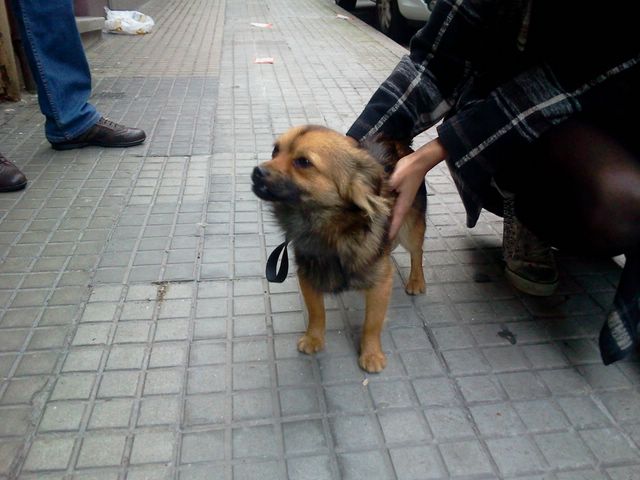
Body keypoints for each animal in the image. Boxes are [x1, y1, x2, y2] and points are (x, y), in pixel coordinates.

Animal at [251, 125, 424, 374]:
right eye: (275, 151)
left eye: (303, 162)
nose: (257, 171)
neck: (329, 230)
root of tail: (397, 141)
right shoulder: (308, 274)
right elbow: (316, 312)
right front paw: (314, 338)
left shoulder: (381, 283)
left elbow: (372, 323)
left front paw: (371, 354)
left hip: (409, 228)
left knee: (417, 252)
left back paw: (416, 281)